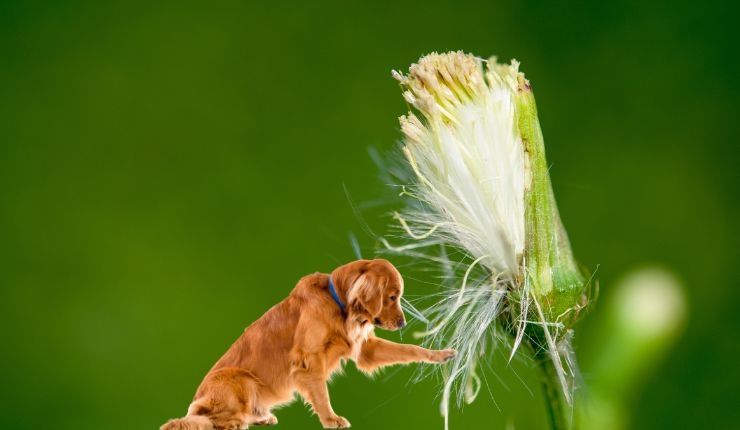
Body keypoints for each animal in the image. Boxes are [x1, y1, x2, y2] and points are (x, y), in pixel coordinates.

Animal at [160, 258, 456, 430]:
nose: (403, 323)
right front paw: (332, 419)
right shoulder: (309, 359)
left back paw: (261, 416)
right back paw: (235, 422)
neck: (339, 305)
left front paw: (440, 354)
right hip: (239, 379)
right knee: (206, 418)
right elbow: (321, 393)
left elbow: (410, 350)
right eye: (393, 296)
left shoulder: (365, 347)